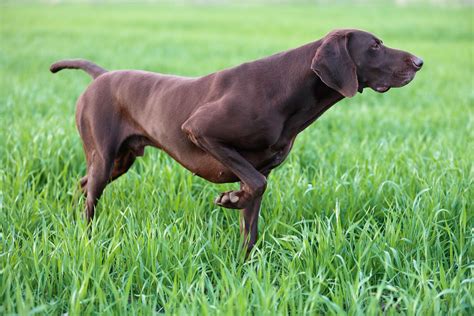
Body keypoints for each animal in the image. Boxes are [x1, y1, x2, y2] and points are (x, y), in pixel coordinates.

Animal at [51, 28, 422, 253]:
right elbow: (255, 184)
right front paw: (229, 199)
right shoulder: (199, 130)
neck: (286, 90)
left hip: (118, 161)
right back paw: (84, 237)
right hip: (105, 157)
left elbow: (252, 215)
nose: (419, 62)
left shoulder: (260, 169)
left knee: (82, 183)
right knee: (91, 196)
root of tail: (101, 76)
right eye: (374, 46)